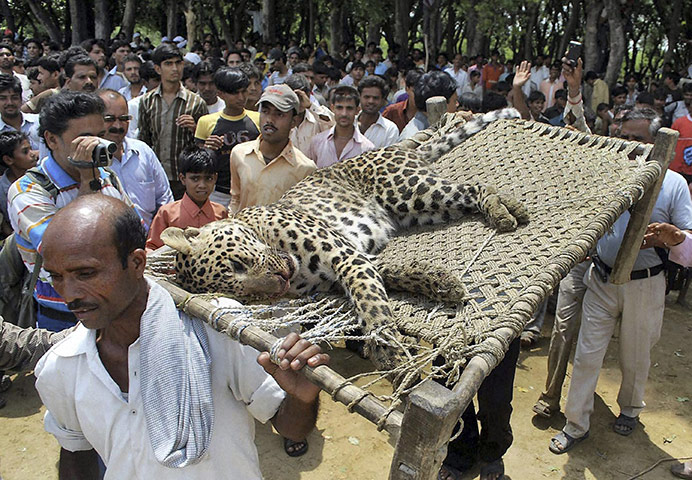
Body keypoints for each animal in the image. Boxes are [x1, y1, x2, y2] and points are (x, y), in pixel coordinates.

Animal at [162, 108, 529, 370]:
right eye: (247, 298)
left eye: (238, 264)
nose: (281, 280)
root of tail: (396, 149)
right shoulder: (352, 262)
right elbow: (393, 273)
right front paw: (442, 283)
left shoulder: (345, 257)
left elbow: (371, 302)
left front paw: (389, 351)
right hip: (420, 210)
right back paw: (511, 209)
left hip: (410, 192)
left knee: (473, 186)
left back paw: (507, 213)